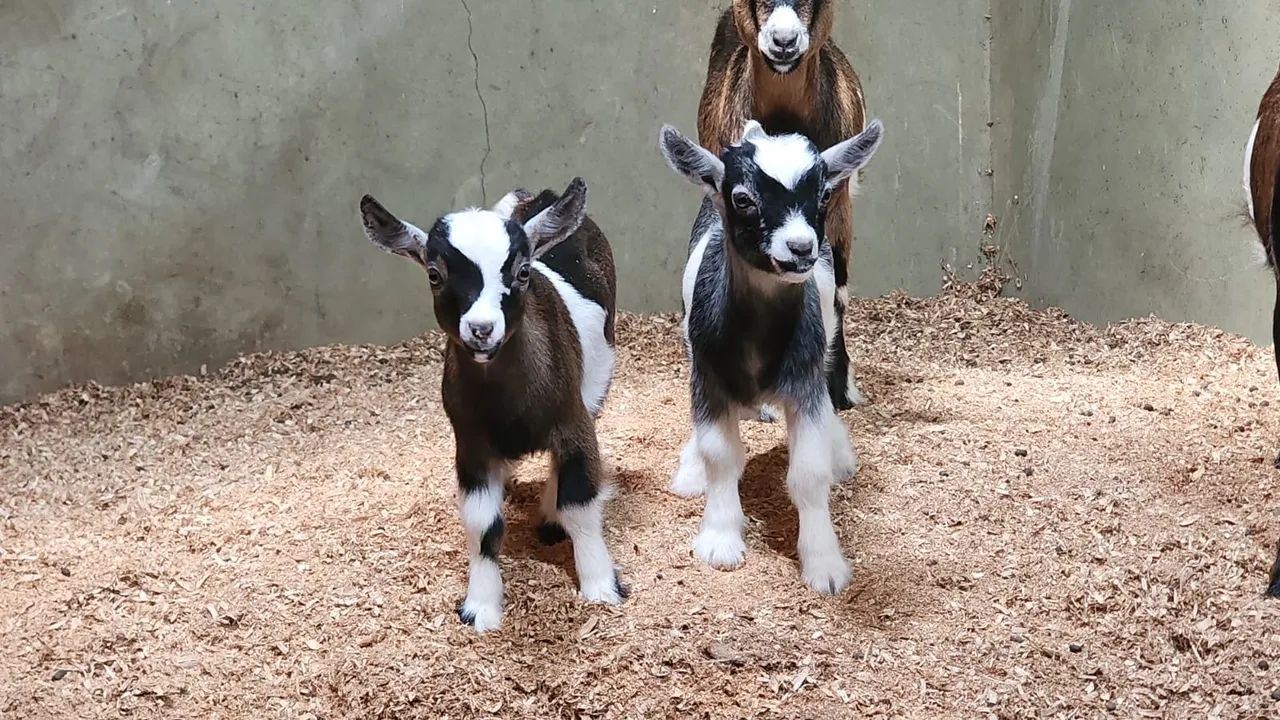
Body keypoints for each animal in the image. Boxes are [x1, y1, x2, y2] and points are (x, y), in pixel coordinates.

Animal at [358, 179, 626, 631]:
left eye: (522, 272)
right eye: (434, 274)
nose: (481, 329)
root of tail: (539, 194)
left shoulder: (573, 426)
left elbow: (579, 504)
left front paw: (601, 587)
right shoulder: (471, 446)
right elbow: (482, 524)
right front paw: (480, 607)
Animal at [658, 117, 884, 593]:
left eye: (823, 194)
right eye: (742, 198)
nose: (800, 248)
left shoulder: (804, 383)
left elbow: (809, 474)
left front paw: (824, 564)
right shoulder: (709, 378)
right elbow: (720, 456)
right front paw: (720, 539)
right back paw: (690, 472)